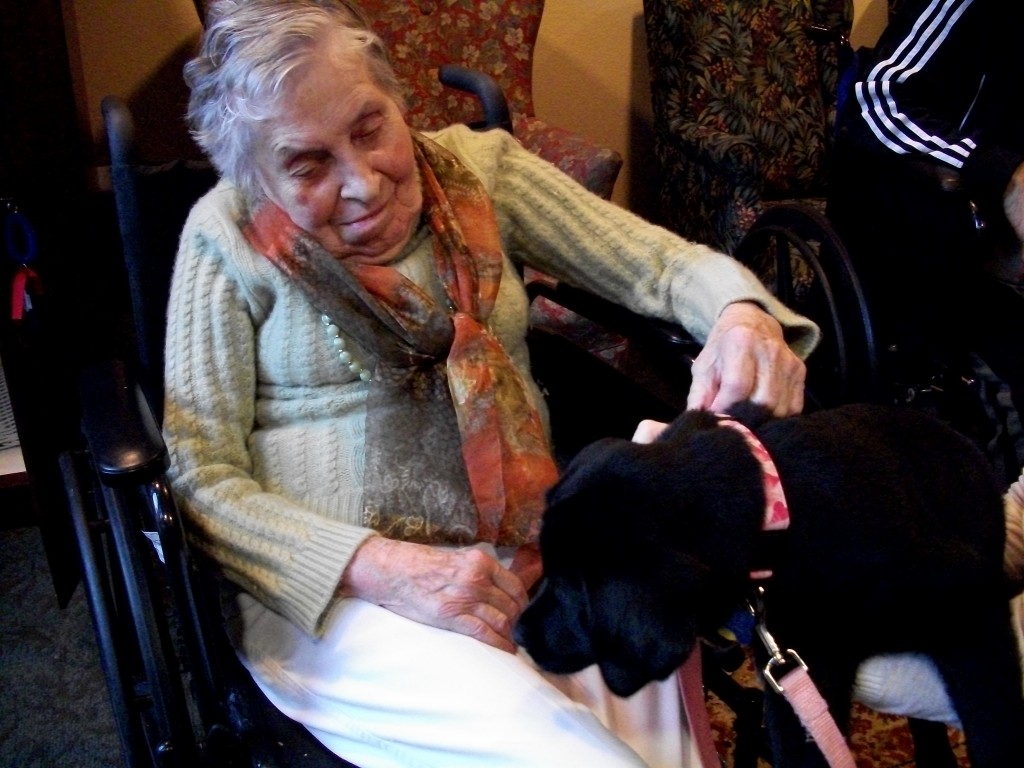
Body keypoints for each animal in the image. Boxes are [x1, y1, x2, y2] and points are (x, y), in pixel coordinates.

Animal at [520, 403, 1024, 768]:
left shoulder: (976, 614)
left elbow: (994, 727)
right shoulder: (801, 670)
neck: (777, 522)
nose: (519, 633)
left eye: (568, 589)